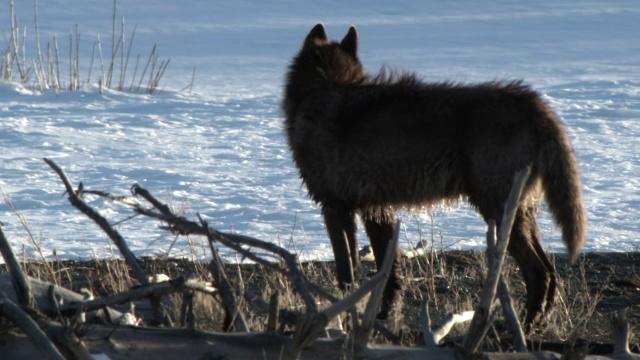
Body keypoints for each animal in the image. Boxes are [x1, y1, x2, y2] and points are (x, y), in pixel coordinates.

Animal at [282, 23, 588, 330]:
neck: (324, 87)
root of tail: (535, 103)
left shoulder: (334, 209)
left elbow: (346, 274)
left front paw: (343, 317)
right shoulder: (376, 210)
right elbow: (387, 272)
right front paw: (383, 317)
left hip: (498, 214)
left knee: (539, 272)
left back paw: (523, 325)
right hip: (521, 214)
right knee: (551, 271)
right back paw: (537, 322)